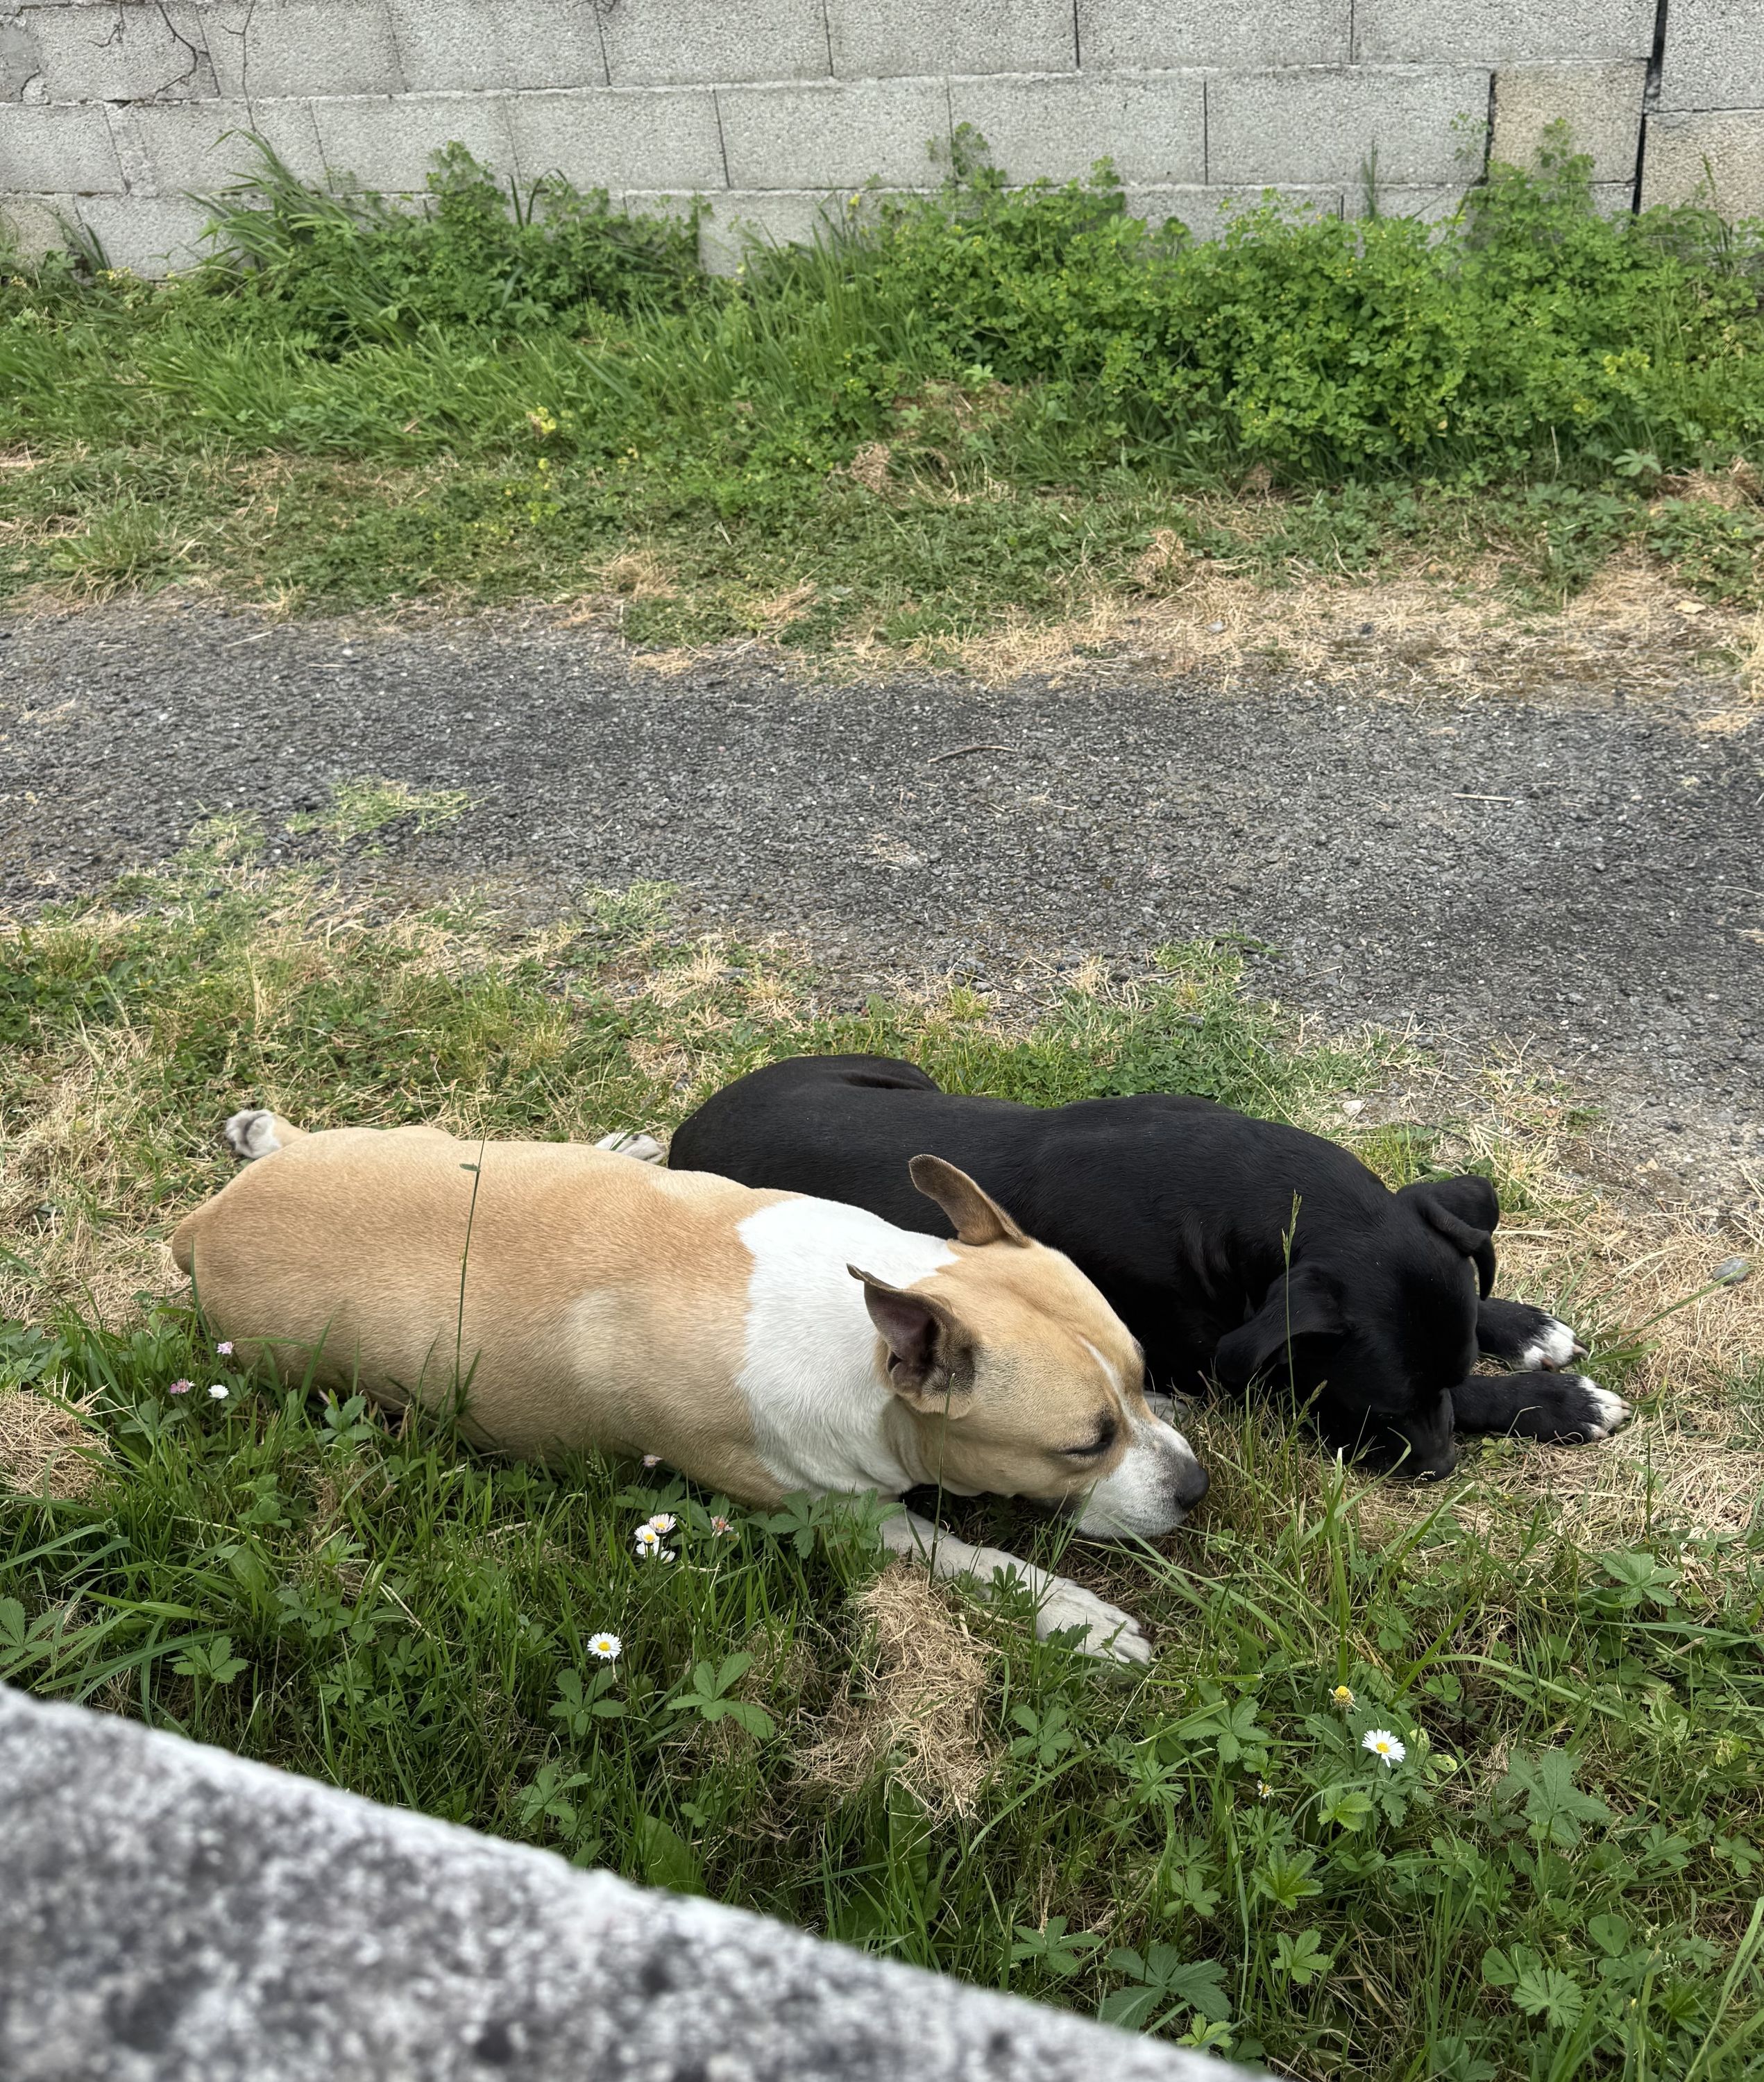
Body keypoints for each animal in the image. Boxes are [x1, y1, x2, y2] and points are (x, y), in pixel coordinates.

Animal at [171, 1108, 1210, 1662]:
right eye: (1083, 1444)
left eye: (1137, 1374)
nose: (1197, 1488)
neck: (860, 1334)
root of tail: (203, 1226)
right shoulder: (843, 1519)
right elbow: (963, 1556)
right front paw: (1077, 1616)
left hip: (417, 1143)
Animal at [668, 1056, 1631, 1478]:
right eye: (1382, 1404)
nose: (1436, 1473)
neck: (1245, 1196)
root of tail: (682, 1133)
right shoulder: (1234, 1376)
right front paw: (1554, 1404)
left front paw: (1520, 1325)